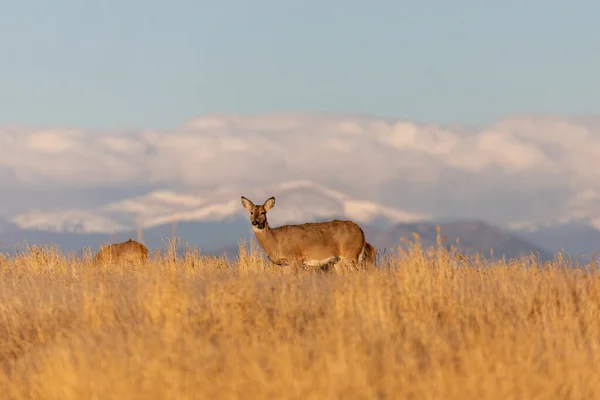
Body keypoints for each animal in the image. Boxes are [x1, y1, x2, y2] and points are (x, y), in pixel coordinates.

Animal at [239, 196, 376, 274]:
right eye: (251, 212)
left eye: (263, 212)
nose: (255, 222)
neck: (275, 241)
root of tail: (361, 231)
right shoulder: (284, 264)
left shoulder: (296, 259)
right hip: (339, 261)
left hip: (351, 255)